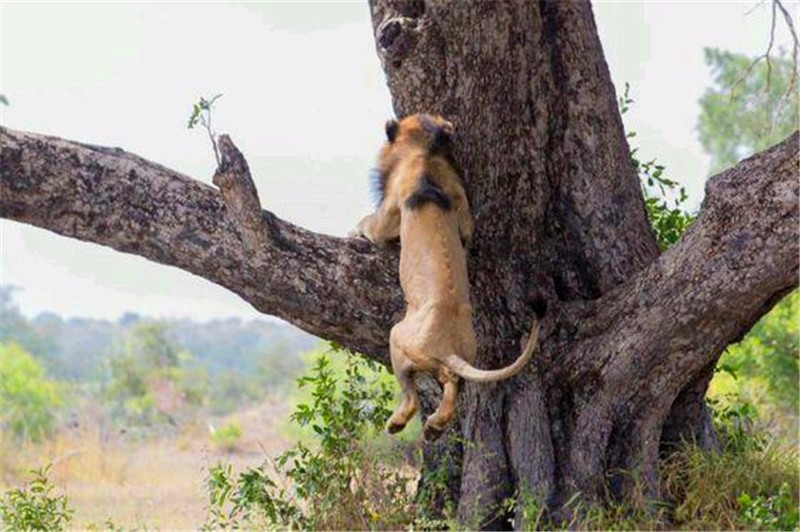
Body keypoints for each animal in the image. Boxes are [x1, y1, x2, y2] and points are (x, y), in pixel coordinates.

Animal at [354, 112, 540, 440]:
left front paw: (353, 231)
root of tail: (447, 346)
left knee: (415, 395)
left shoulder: (388, 215)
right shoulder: (463, 211)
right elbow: (466, 228)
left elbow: (368, 225)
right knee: (453, 382)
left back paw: (401, 423)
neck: (426, 151)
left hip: (398, 339)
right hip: (465, 353)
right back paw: (435, 426)